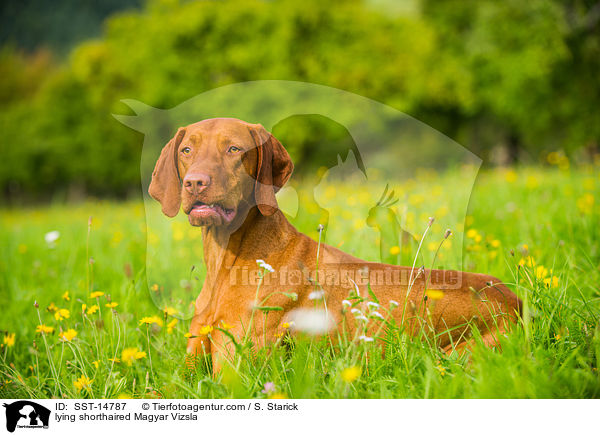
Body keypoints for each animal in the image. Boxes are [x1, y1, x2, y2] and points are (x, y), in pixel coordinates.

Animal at [148, 117, 516, 366]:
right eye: (187, 150)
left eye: (234, 149)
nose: (195, 182)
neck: (228, 259)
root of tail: (515, 300)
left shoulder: (234, 368)